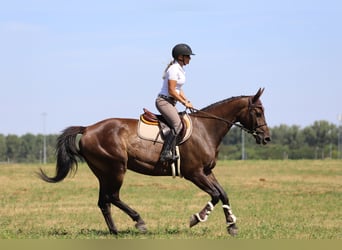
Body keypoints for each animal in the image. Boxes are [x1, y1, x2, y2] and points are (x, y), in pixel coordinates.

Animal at [38, 88, 272, 236]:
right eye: (258, 112)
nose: (266, 138)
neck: (206, 129)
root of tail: (87, 129)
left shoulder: (207, 172)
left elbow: (223, 194)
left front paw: (232, 225)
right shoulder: (195, 173)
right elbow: (215, 195)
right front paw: (197, 218)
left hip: (104, 172)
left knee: (104, 201)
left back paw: (114, 231)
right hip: (116, 169)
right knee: (112, 197)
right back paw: (139, 222)